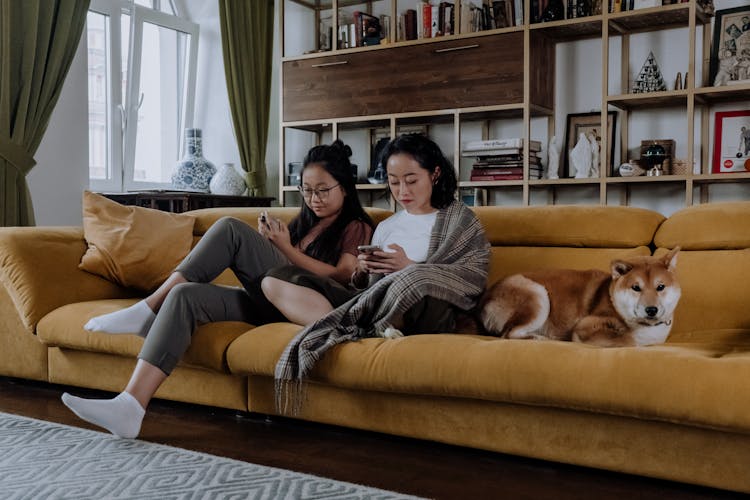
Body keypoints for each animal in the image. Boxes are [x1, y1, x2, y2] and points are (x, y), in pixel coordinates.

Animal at [482, 247, 680, 348]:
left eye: (660, 287)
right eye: (636, 288)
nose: (651, 310)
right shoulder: (585, 326)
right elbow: (628, 339)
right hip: (538, 296)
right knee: (508, 334)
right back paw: (542, 339)